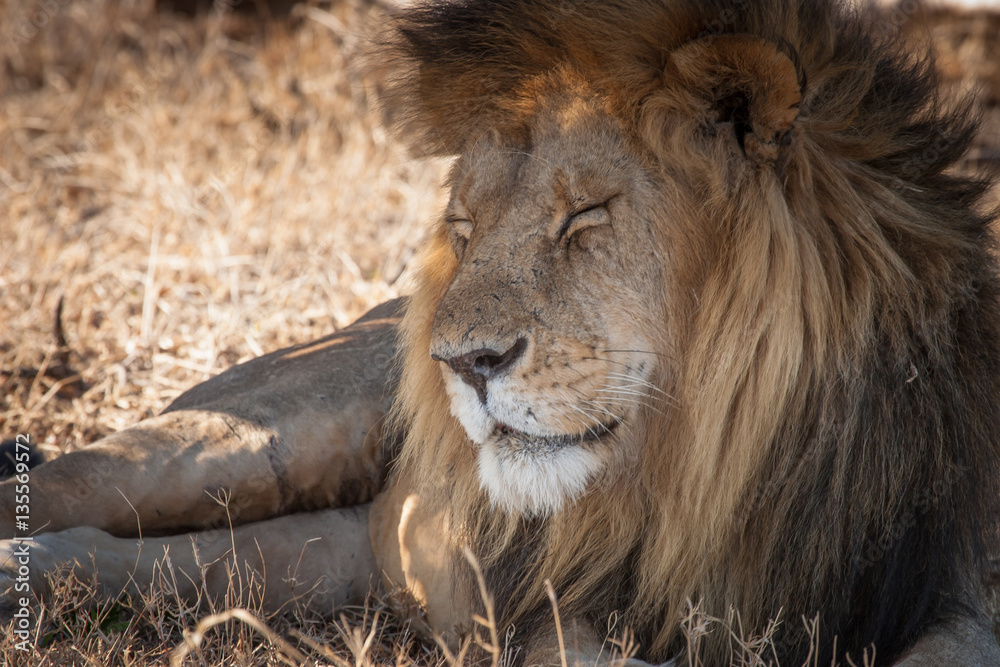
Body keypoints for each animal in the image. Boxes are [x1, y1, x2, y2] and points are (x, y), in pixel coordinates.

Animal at [1, 0, 1000, 664]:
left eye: (585, 216)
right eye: (466, 226)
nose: (462, 363)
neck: (721, 469)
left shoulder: (950, 582)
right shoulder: (558, 603)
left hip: (331, 559)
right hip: (259, 434)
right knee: (77, 482)